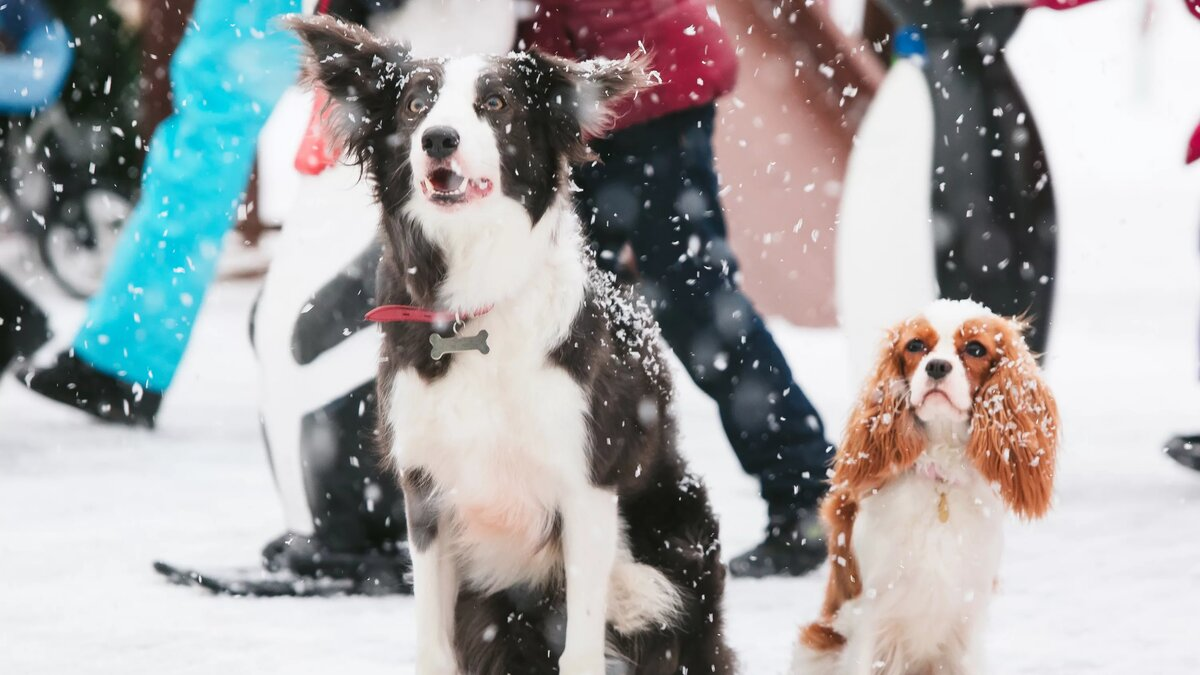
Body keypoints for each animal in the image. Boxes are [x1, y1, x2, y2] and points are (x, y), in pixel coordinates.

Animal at [290, 15, 734, 672]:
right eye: (416, 104)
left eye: (495, 103)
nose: (438, 139)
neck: (473, 316)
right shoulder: (426, 495)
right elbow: (434, 648)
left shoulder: (587, 489)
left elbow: (581, 650)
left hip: (669, 556)